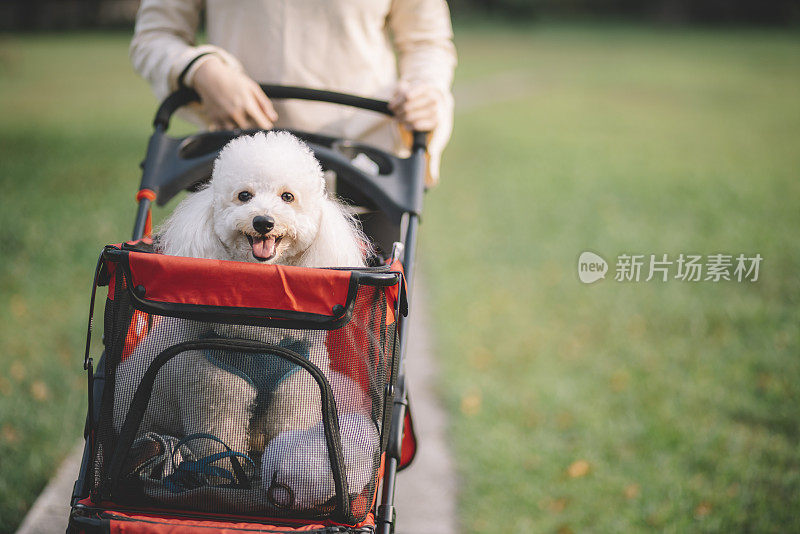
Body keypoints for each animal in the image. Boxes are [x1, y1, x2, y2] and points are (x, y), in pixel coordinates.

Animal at [111, 133, 380, 506]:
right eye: (244, 196)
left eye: (287, 197)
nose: (263, 222)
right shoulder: (217, 395)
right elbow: (218, 446)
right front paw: (222, 485)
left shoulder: (296, 391)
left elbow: (288, 432)